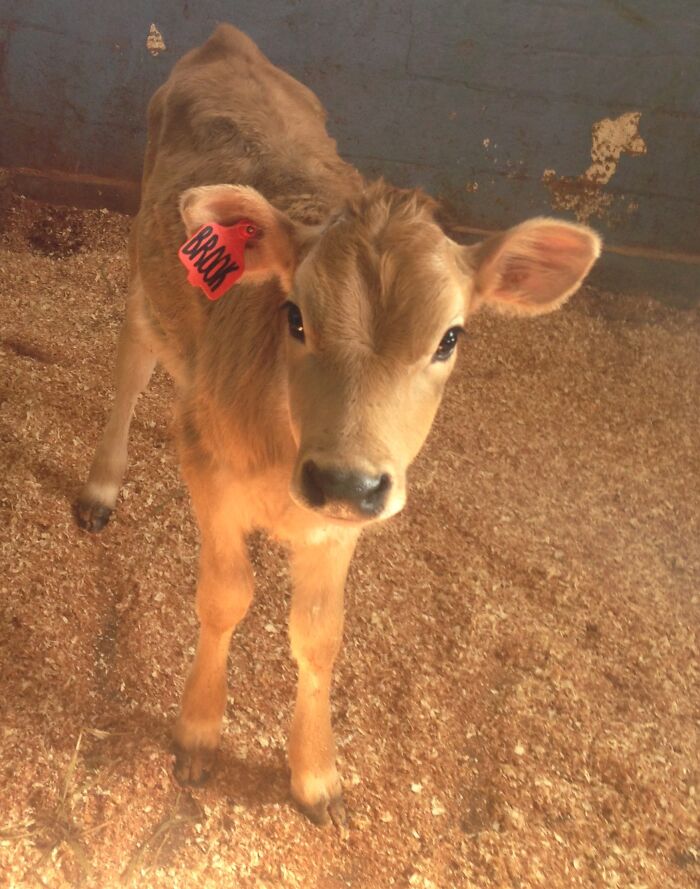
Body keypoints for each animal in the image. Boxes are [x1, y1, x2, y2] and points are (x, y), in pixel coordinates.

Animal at [76, 24, 601, 826]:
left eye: (450, 337)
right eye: (295, 315)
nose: (344, 479)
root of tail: (228, 41)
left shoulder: (341, 524)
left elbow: (319, 636)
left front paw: (314, 774)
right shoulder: (207, 465)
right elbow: (225, 597)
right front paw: (197, 733)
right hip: (146, 268)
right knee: (133, 358)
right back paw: (103, 485)